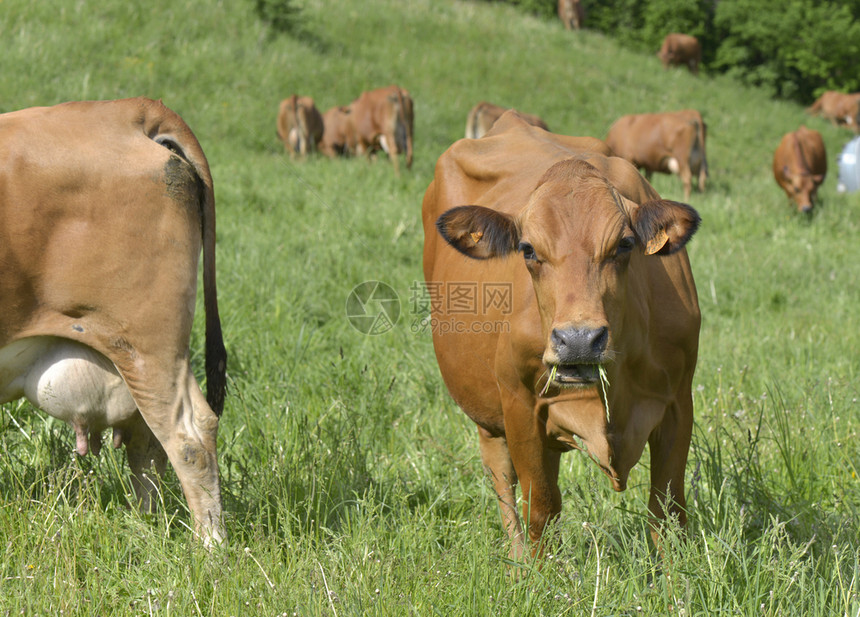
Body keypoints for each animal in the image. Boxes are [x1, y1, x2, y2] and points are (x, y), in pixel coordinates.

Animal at [0, 96, 228, 544]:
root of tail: (128, 108)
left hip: (150, 344)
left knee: (189, 438)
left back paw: (210, 546)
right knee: (148, 445)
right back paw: (145, 530)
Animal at [422, 112, 700, 560]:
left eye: (624, 244)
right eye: (528, 249)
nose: (580, 340)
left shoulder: (679, 402)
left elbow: (668, 512)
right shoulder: (521, 406)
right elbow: (541, 507)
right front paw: (538, 575)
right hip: (488, 411)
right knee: (502, 480)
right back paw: (517, 557)